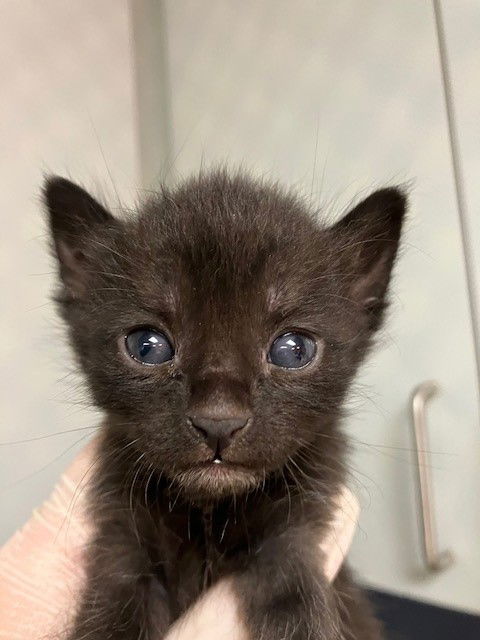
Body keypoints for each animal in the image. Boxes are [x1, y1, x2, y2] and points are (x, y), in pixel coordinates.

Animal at [44, 171, 404, 640]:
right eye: (147, 346)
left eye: (293, 350)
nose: (218, 421)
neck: (210, 513)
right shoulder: (120, 544)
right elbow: (109, 617)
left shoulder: (293, 539)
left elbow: (297, 610)